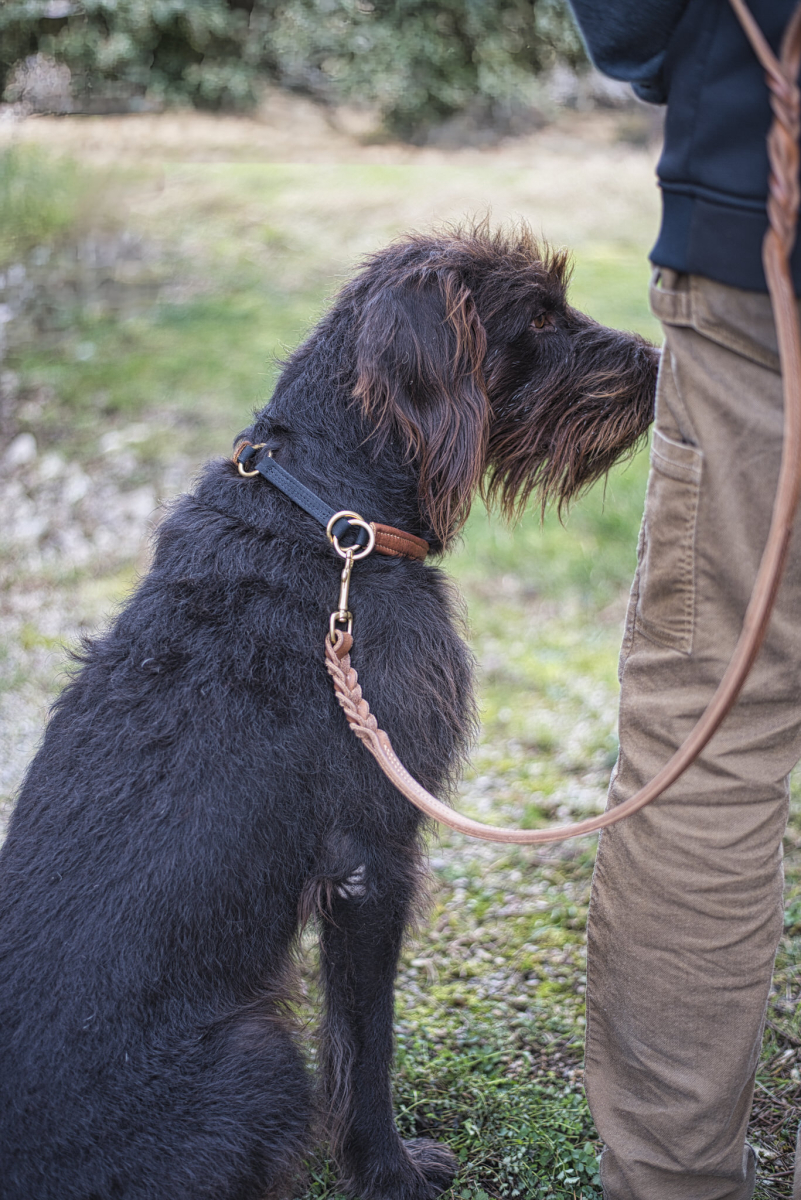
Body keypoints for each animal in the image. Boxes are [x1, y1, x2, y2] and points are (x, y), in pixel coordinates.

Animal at [0, 226, 657, 1200]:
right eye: (538, 317)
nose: (657, 362)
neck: (328, 519)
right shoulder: (369, 855)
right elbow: (362, 1041)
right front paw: (388, 1171)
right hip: (260, 1056)